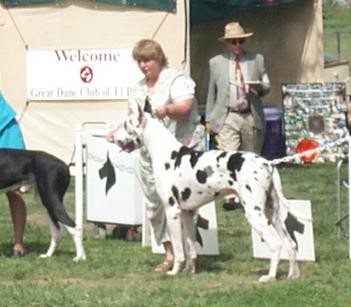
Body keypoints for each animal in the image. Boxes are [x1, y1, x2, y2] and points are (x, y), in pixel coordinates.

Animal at [111, 104, 304, 282]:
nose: (111, 136)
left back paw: (270, 277)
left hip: (254, 214)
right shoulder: (187, 213)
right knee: (291, 245)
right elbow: (190, 248)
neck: (168, 155)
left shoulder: (172, 212)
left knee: (276, 245)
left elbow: (179, 250)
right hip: (273, 215)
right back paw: (293, 276)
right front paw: (189, 271)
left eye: (126, 124)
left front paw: (174, 271)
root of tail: (267, 163)